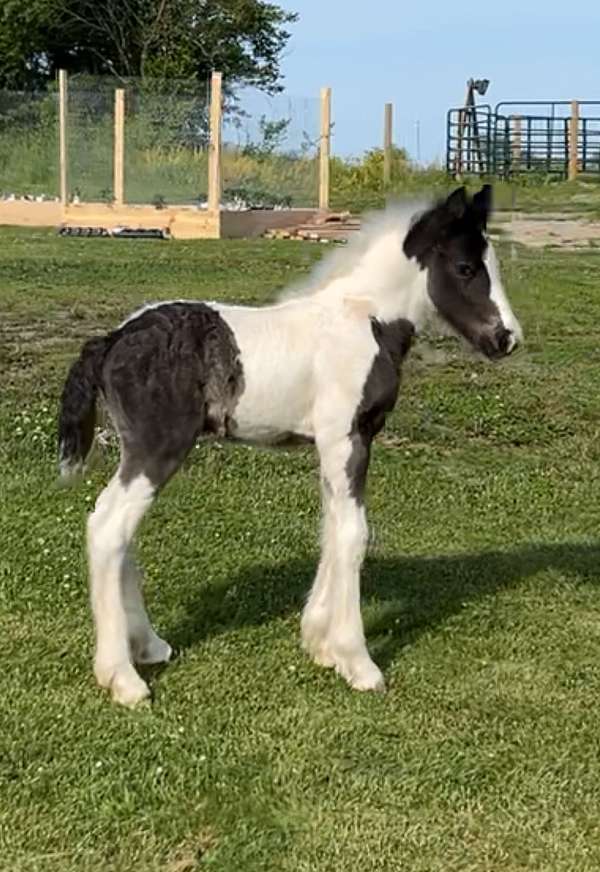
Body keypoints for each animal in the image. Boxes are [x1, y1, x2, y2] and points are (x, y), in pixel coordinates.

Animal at [58, 187, 524, 704]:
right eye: (465, 267)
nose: (507, 339)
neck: (364, 319)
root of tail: (113, 339)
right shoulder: (347, 438)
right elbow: (353, 534)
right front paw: (358, 661)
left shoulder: (331, 444)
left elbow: (332, 528)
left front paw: (320, 642)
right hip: (157, 449)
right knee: (108, 527)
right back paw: (123, 677)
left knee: (123, 532)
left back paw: (148, 645)